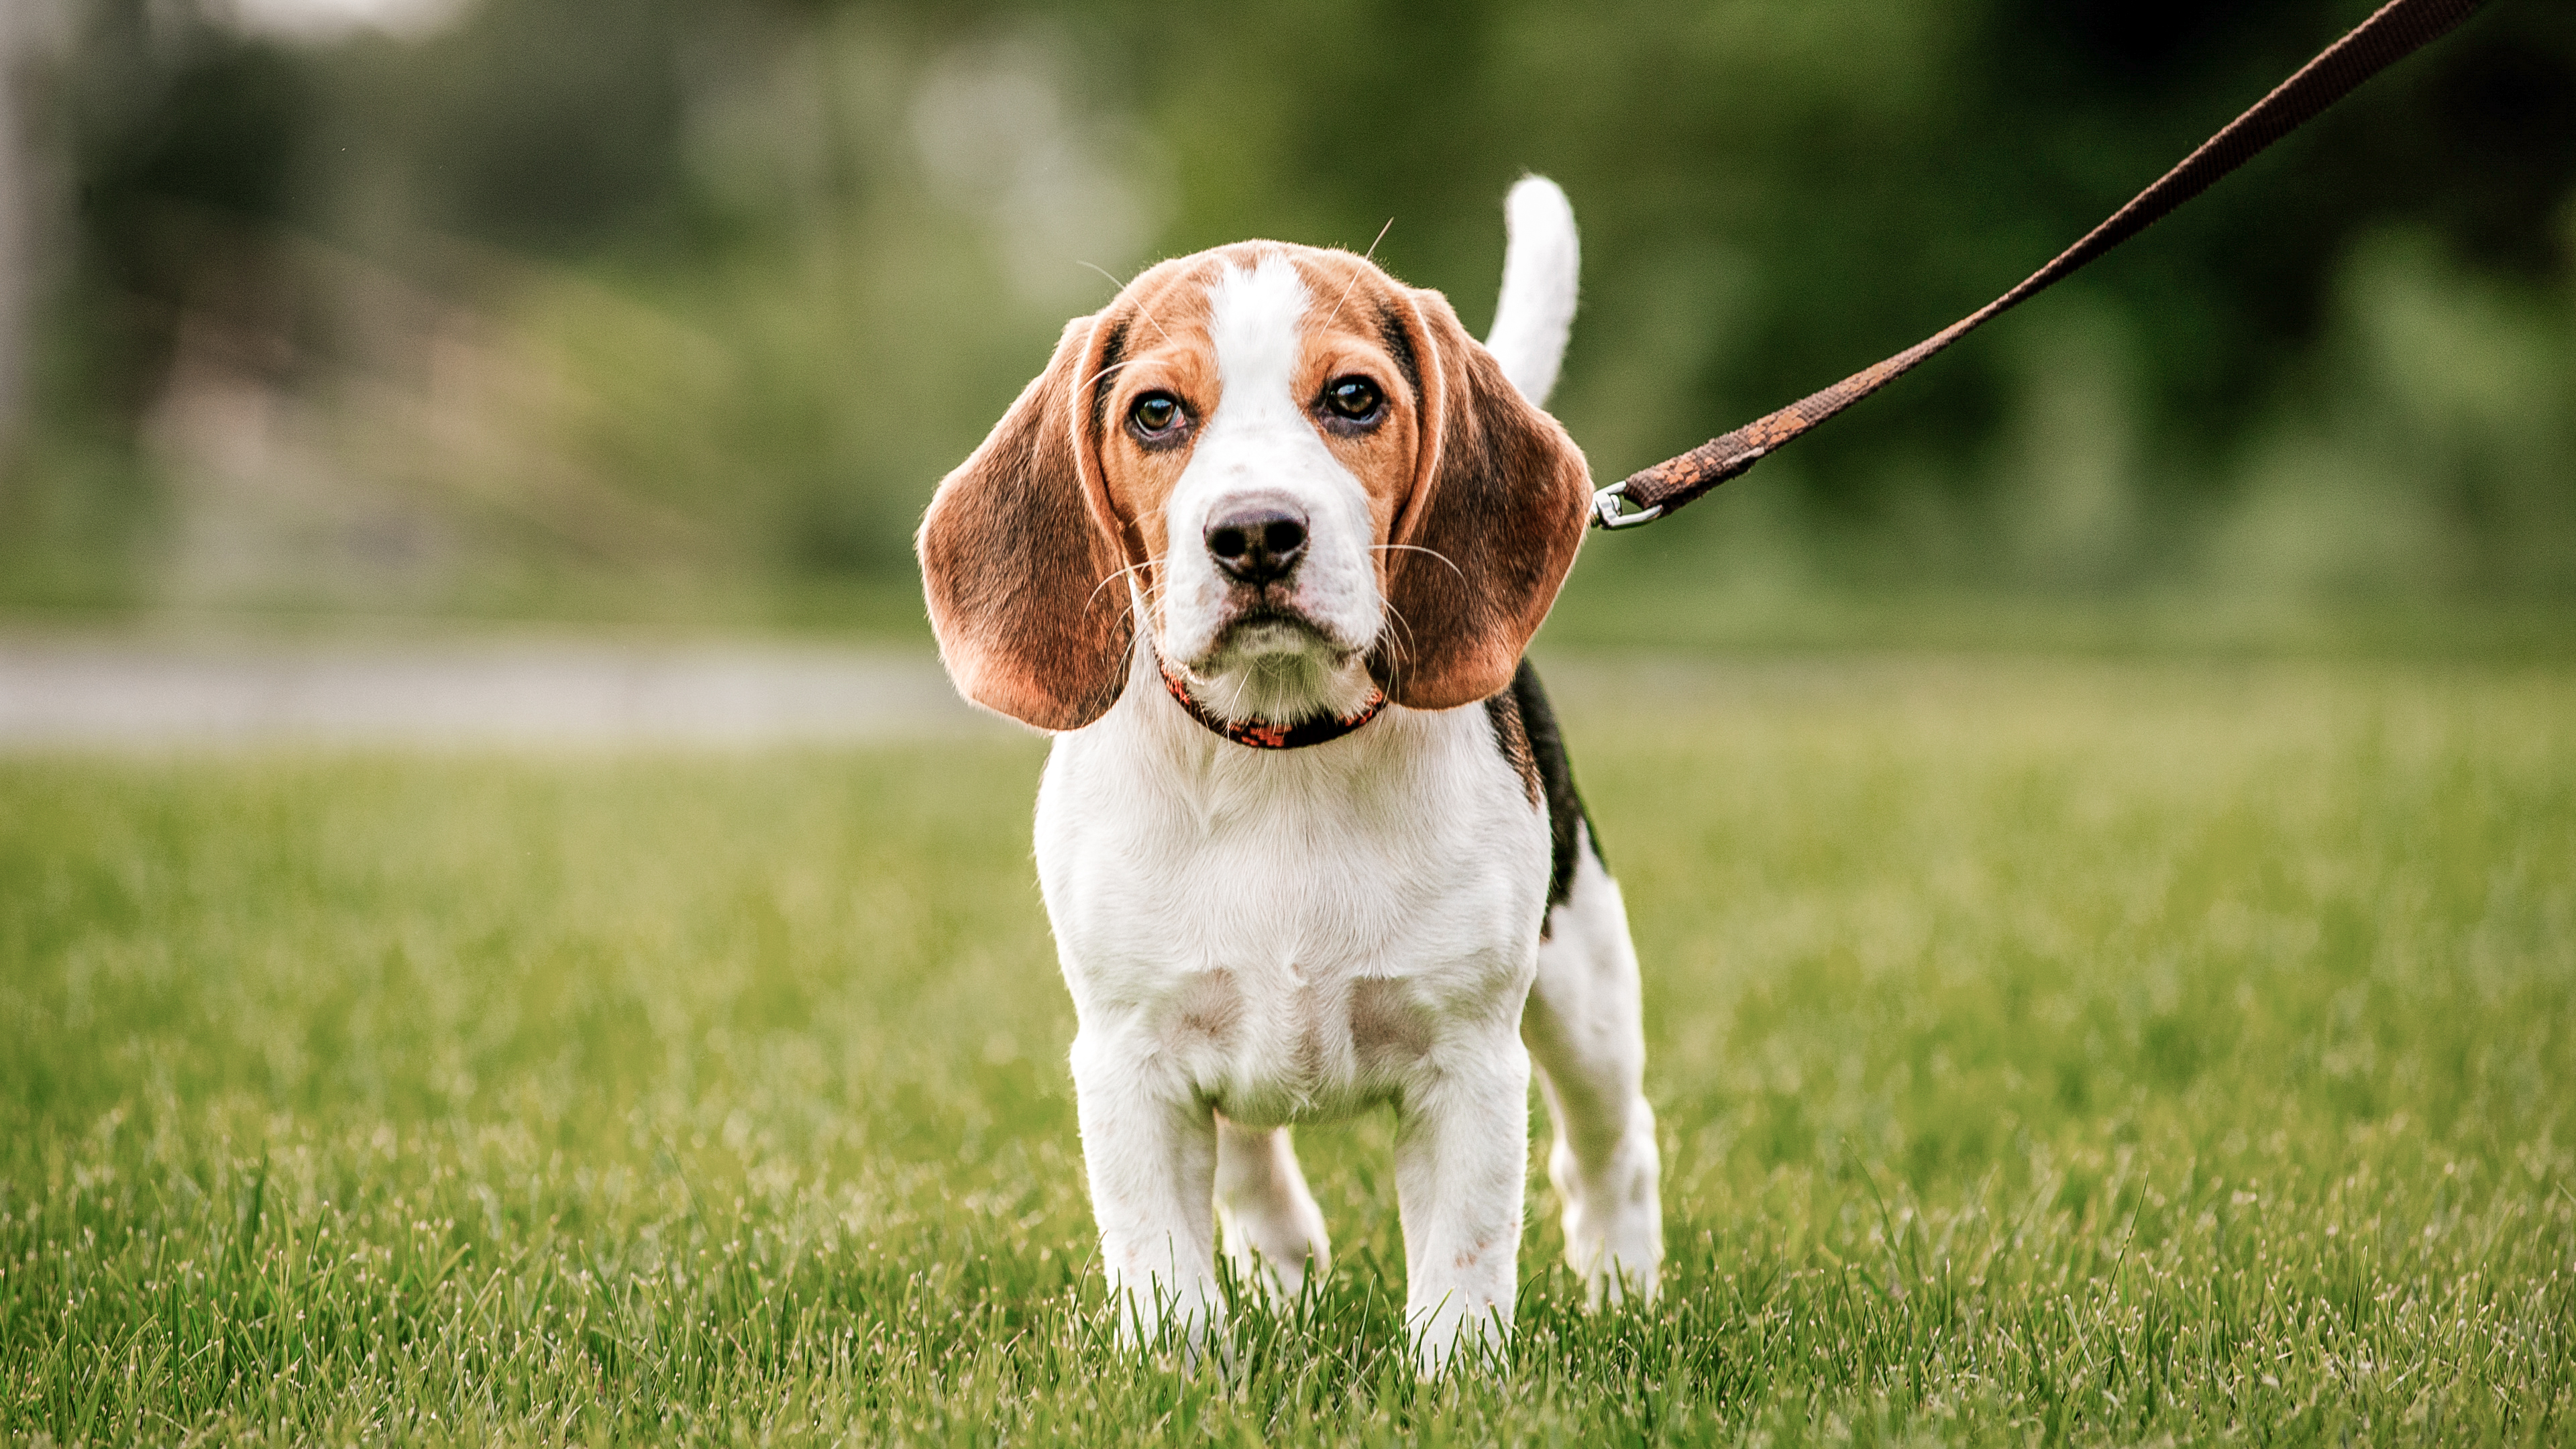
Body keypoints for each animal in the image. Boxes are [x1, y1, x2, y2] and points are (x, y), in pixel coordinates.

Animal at [917, 178, 1658, 1361]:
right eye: (1156, 413)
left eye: (1354, 398)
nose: (1257, 532)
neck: (1281, 750)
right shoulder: (1127, 1061)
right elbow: (1164, 1268)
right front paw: (1176, 1373)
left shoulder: (1468, 1064)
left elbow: (1461, 1271)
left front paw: (1457, 1381)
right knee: (1254, 1164)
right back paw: (1285, 1270)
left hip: (1583, 982)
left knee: (1611, 1150)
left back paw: (1627, 1290)